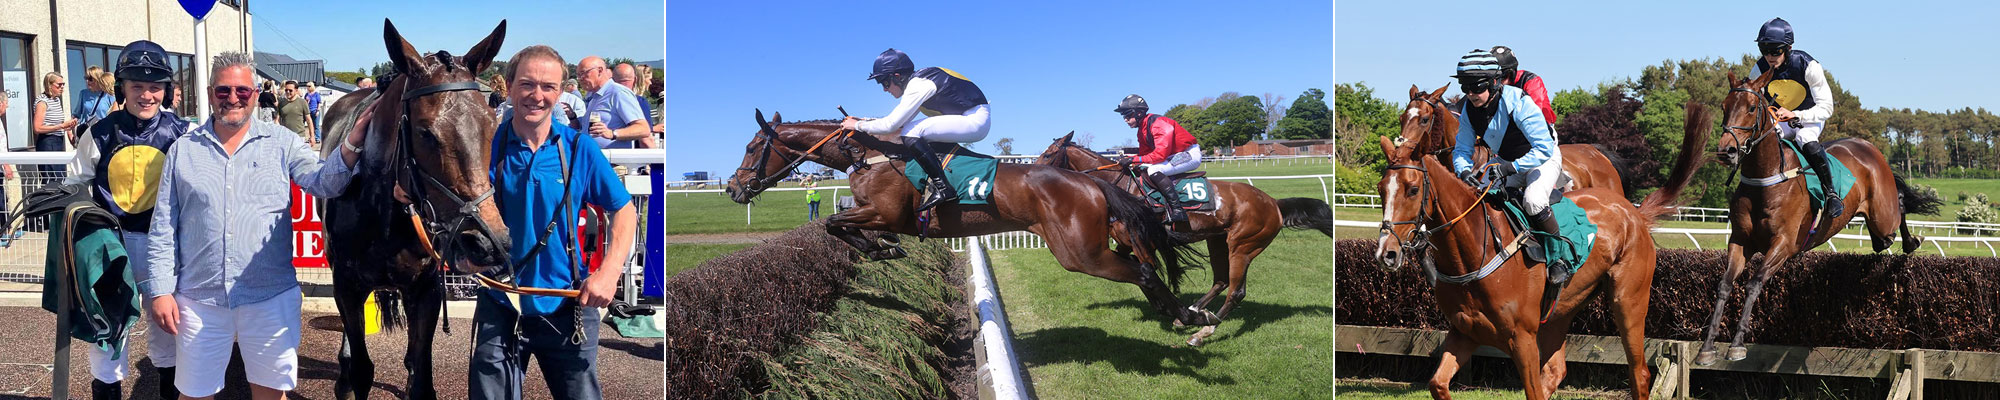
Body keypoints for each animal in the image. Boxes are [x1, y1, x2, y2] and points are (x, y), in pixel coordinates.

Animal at [317, 20, 512, 400]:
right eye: (426, 133)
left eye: (491, 126)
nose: (485, 243)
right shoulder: (346, 284)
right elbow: (361, 369)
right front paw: (350, 375)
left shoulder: (425, 287)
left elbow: (422, 375)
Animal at [724, 111, 1220, 328]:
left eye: (751, 148)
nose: (733, 187)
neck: (868, 154)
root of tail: (1091, 183)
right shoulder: (875, 213)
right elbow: (840, 224)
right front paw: (880, 248)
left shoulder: (887, 211)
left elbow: (834, 224)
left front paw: (880, 248)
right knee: (1144, 265)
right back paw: (1184, 312)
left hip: (1081, 252)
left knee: (1145, 269)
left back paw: (1189, 316)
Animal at [1034, 133, 1333, 345]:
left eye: (1048, 154)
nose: (1031, 172)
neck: (1123, 188)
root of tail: (1274, 203)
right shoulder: (1125, 243)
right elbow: (1139, 271)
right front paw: (1174, 311)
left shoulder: (1142, 243)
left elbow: (1149, 270)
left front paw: (1165, 307)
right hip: (1218, 240)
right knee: (1221, 280)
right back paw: (1196, 311)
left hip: (1243, 245)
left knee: (1236, 292)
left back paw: (1203, 332)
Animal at [1373, 101, 1712, 400]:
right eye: (1381, 188)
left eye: (1412, 189)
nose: (1386, 253)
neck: (1475, 252)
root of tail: (1633, 212)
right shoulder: (1464, 332)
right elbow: (1438, 384)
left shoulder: (1522, 339)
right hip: (1562, 308)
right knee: (1556, 370)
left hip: (1628, 299)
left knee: (1638, 372)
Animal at [1692, 69, 1943, 366]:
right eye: (1724, 107)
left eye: (1752, 108)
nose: (1726, 151)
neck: (1766, 177)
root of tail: (1868, 146)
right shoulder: (1740, 241)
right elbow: (1725, 285)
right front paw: (1707, 347)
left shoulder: (1784, 245)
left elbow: (1754, 284)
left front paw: (1738, 344)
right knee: (1880, 242)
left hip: (1884, 216)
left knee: (1899, 209)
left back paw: (1911, 242)